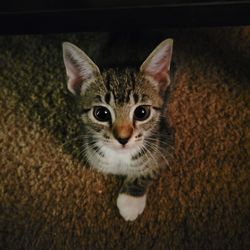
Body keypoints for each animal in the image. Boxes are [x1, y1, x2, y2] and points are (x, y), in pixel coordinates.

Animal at [62, 39, 174, 221]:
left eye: (142, 112)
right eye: (101, 114)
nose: (123, 138)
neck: (120, 158)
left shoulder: (167, 144)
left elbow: (149, 171)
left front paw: (131, 200)